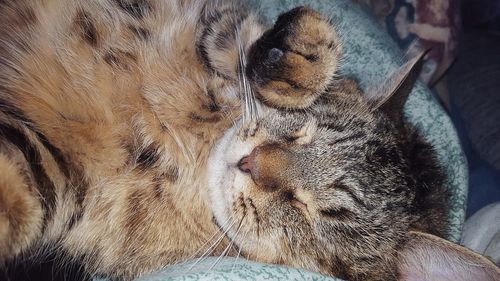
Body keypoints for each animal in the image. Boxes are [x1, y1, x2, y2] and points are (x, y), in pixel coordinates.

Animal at [0, 0, 500, 278]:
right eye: (303, 131)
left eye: (317, 212)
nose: (251, 161)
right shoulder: (212, 19)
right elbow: (237, 31)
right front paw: (299, 52)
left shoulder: (63, 174)